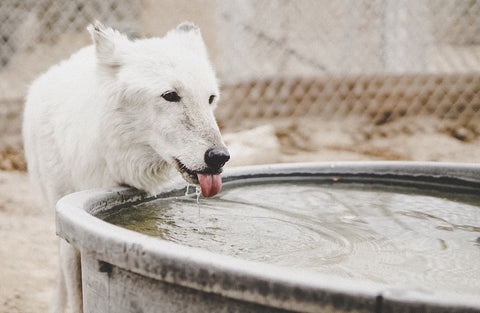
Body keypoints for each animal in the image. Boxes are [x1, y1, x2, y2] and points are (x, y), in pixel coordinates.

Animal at [23, 21, 230, 312]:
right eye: (170, 95)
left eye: (210, 98)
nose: (220, 157)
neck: (118, 164)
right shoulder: (69, 230)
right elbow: (76, 297)